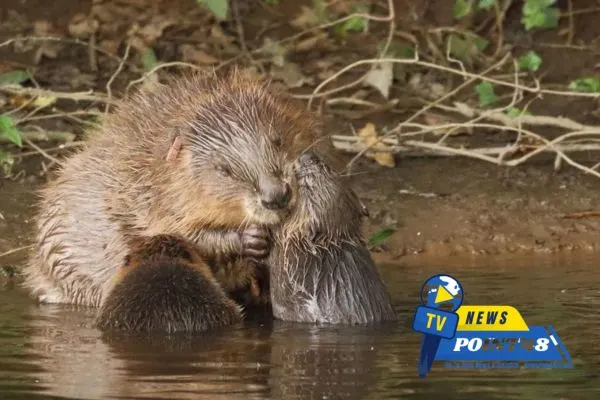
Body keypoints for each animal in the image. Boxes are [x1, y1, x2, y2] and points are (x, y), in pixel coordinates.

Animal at [24, 68, 318, 306]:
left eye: (277, 140)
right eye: (223, 169)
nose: (275, 196)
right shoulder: (150, 197)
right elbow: (180, 234)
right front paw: (251, 238)